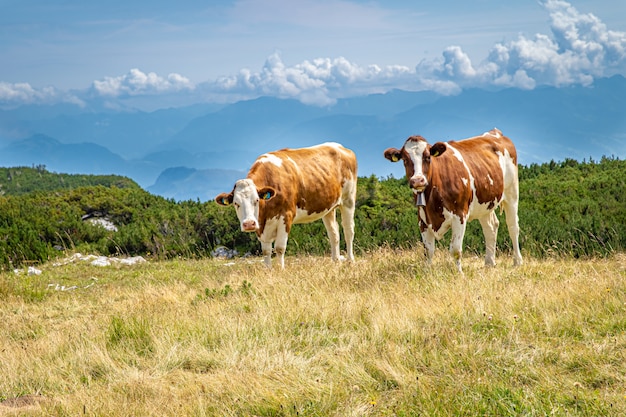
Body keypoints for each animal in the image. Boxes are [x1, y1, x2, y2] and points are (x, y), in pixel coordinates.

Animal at [213, 141, 356, 268]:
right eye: (236, 203)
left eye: (257, 200)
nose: (249, 224)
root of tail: (341, 147)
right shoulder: (261, 225)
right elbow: (266, 251)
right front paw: (268, 271)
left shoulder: (286, 216)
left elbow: (279, 248)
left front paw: (281, 270)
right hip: (328, 207)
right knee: (334, 233)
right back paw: (335, 262)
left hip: (348, 199)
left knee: (348, 230)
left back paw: (350, 261)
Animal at [380, 128, 520, 272]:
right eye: (405, 159)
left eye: (428, 157)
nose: (418, 180)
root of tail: (495, 132)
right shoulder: (422, 219)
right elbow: (428, 251)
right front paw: (427, 272)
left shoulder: (460, 215)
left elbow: (456, 250)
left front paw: (459, 273)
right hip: (485, 203)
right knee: (490, 227)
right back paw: (489, 263)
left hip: (512, 192)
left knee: (513, 226)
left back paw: (517, 262)